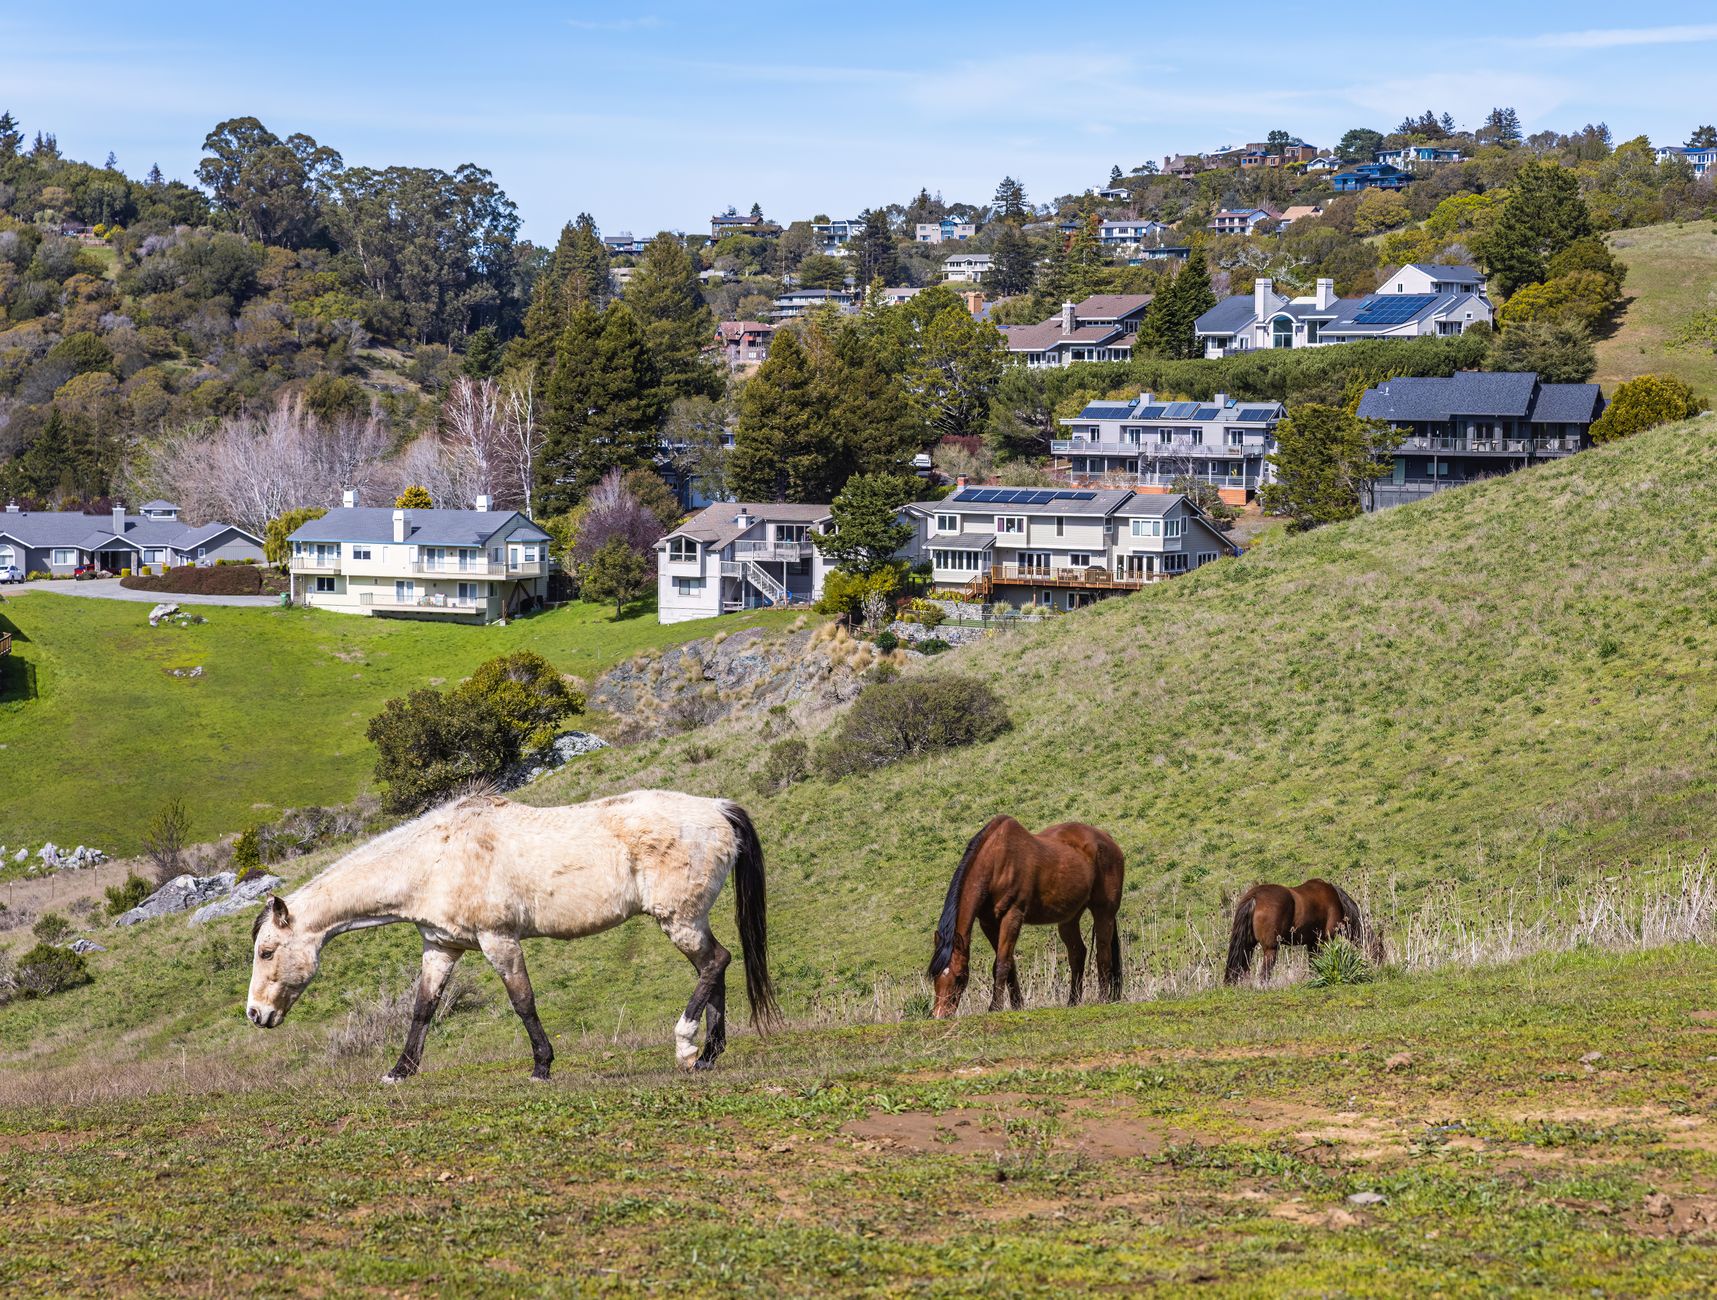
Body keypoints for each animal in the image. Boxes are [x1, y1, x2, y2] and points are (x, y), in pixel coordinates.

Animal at [246, 789, 779, 1081]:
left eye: (267, 951)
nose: (256, 1014)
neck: (435, 859)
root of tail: (718, 808)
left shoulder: (498, 940)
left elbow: (523, 1001)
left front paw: (542, 1066)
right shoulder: (441, 946)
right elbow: (422, 1008)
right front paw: (399, 1072)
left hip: (679, 920)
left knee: (716, 963)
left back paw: (686, 1046)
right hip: (688, 920)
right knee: (716, 968)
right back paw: (708, 1056)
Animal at [927, 814, 1125, 1018]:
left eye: (959, 977)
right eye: (934, 975)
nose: (940, 1015)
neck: (996, 863)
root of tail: (1107, 839)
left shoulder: (1012, 915)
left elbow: (1001, 963)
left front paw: (995, 1007)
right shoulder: (988, 923)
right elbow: (1009, 963)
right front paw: (1016, 1005)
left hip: (1104, 912)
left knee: (1103, 951)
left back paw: (1103, 998)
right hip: (1069, 919)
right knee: (1078, 953)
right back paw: (1073, 1001)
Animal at [1223, 878, 1384, 984]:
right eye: (1381, 951)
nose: (1381, 968)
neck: (1337, 901)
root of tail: (1255, 897)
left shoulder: (1312, 943)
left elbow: (1313, 964)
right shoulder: (1325, 940)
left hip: (1248, 946)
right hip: (1270, 949)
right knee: (1265, 973)